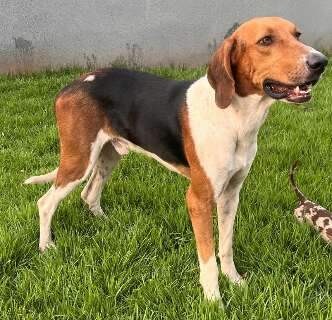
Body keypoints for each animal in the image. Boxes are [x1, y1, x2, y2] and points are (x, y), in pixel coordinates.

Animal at [25, 16, 326, 302]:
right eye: (266, 40)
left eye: (297, 35)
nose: (321, 62)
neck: (236, 117)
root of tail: (72, 84)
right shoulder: (198, 200)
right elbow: (208, 260)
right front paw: (213, 301)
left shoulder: (231, 194)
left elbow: (226, 247)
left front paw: (235, 282)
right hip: (79, 160)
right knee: (45, 202)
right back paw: (46, 247)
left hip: (108, 156)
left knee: (88, 195)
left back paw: (106, 223)